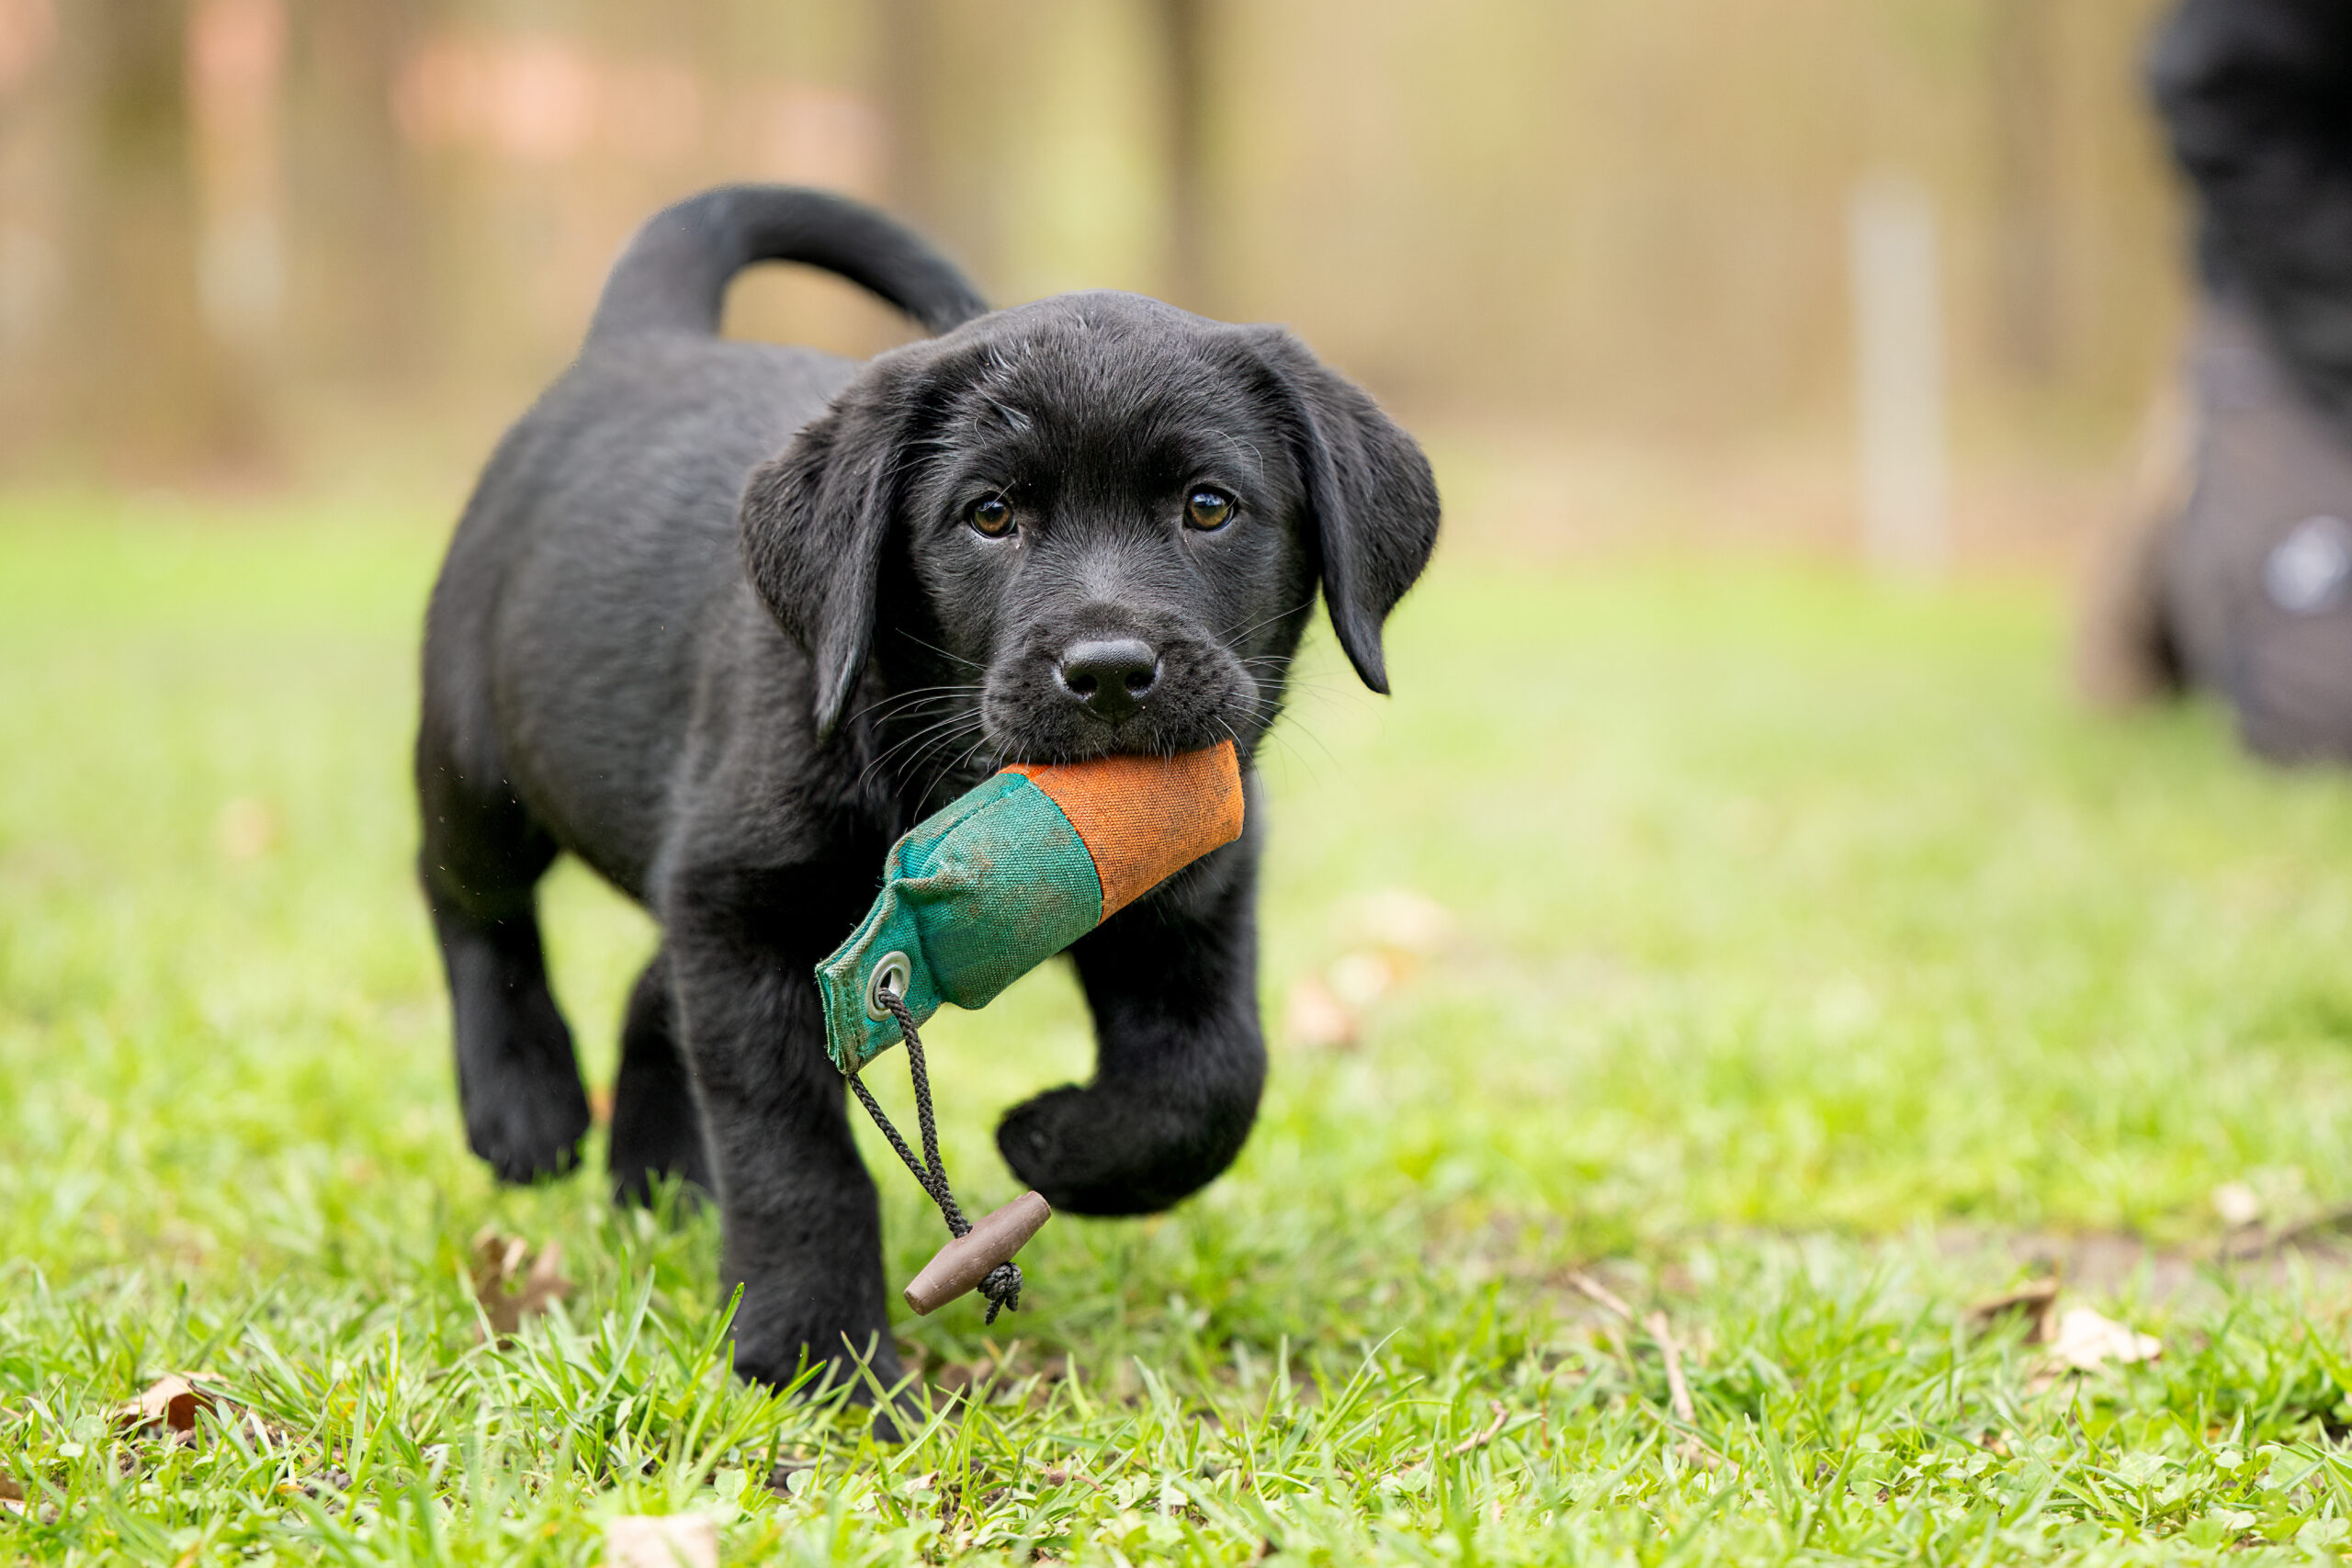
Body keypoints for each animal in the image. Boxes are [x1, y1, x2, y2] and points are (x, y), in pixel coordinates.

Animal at [421, 186, 1439, 1401]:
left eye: (1207, 506)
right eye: (989, 515)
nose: (1108, 672)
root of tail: (641, 339)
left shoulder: (1191, 902)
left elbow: (1209, 1085)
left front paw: (1054, 1145)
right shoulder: (743, 902)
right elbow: (791, 1154)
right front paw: (819, 1360)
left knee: (646, 991)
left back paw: (662, 1188)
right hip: (479, 758)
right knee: (471, 904)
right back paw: (522, 1105)